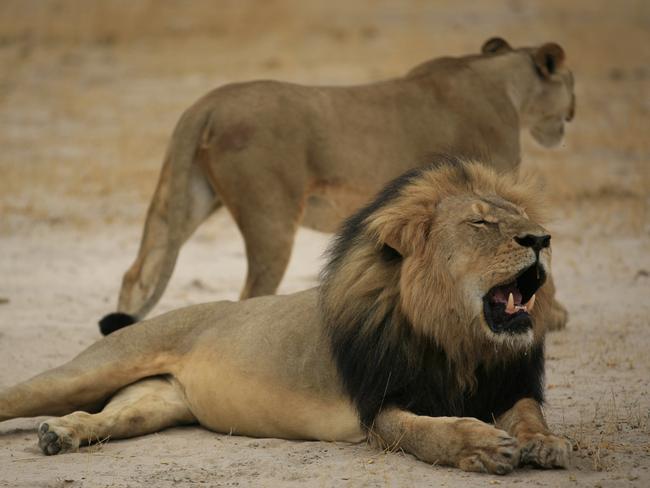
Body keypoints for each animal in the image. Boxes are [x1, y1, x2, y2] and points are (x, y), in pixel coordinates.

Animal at [1, 162, 568, 474]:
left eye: (523, 219)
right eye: (481, 223)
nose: (542, 239)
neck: (459, 343)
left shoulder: (509, 386)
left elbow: (529, 416)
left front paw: (543, 444)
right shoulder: (380, 408)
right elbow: (432, 433)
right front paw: (482, 446)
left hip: (156, 404)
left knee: (108, 417)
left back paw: (61, 435)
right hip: (91, 369)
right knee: (23, 394)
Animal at [97, 38, 572, 334]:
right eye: (570, 84)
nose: (570, 116)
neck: (505, 84)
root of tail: (207, 102)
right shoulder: (489, 187)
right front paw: (551, 315)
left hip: (187, 198)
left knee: (138, 273)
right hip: (271, 218)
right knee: (250, 293)